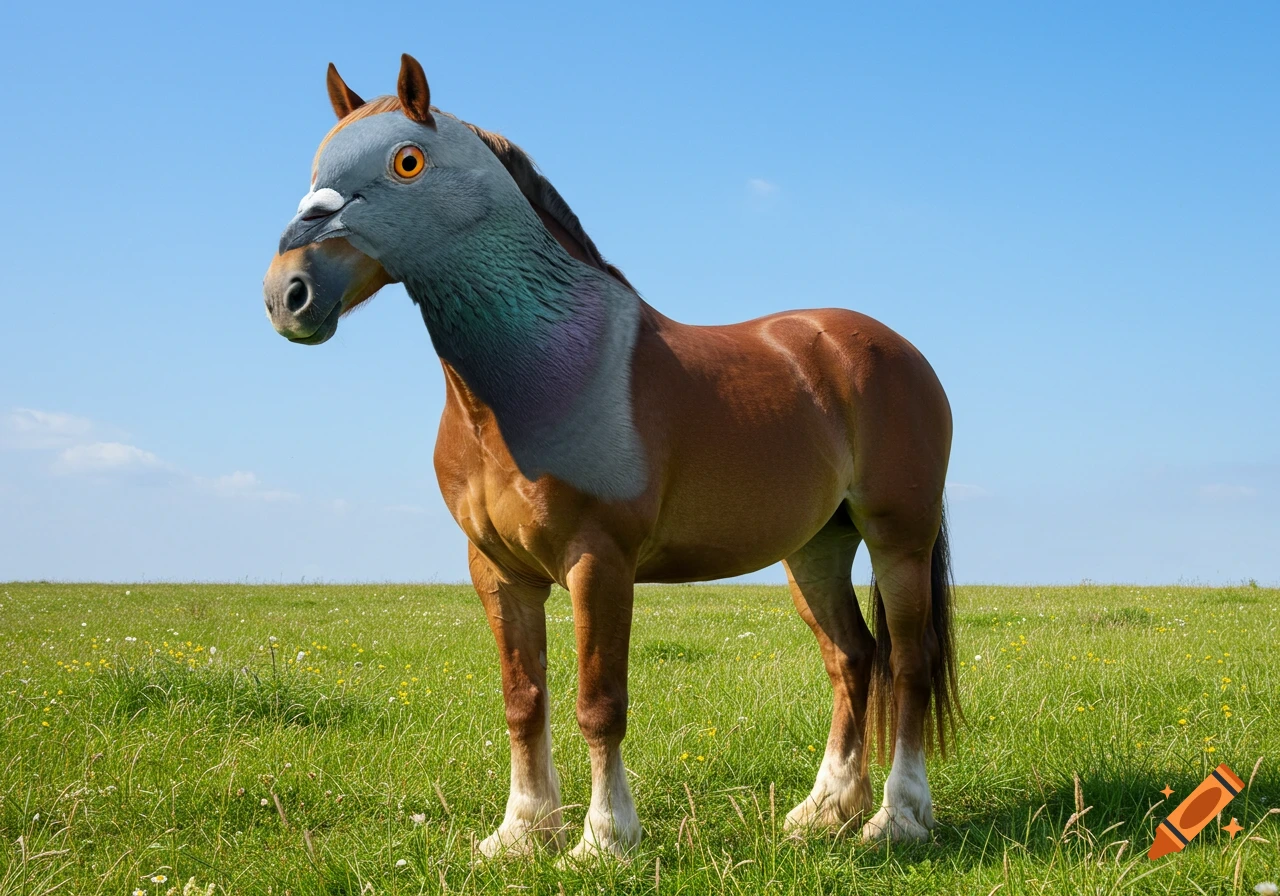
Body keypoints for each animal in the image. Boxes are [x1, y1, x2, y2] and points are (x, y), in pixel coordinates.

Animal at [263, 54, 959, 859]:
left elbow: (599, 703)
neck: (548, 372)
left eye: (407, 162)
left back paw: (896, 816)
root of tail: (891, 349)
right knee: (851, 658)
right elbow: (523, 699)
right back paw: (825, 810)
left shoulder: (599, 561)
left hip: (897, 537)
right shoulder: (498, 572)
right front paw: (521, 831)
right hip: (815, 547)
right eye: (316, 164)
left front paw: (602, 839)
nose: (287, 294)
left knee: (907, 663)